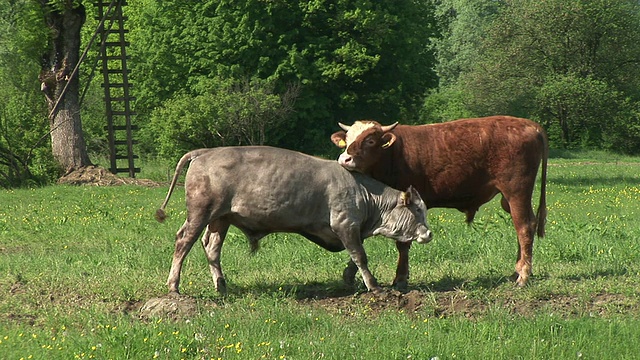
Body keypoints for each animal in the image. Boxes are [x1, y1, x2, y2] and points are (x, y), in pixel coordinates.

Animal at [157, 145, 432, 294]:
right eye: (418, 210)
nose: (429, 233)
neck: (364, 193)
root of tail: (205, 152)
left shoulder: (352, 231)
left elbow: (355, 257)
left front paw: (348, 277)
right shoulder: (345, 224)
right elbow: (360, 256)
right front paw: (373, 285)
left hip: (221, 219)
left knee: (212, 248)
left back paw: (221, 285)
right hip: (200, 214)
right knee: (183, 242)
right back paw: (174, 285)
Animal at [332, 116, 548, 288]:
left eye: (369, 140)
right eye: (348, 139)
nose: (344, 159)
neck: (393, 154)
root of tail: (530, 125)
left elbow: (402, 244)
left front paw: (400, 278)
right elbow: (361, 236)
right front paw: (350, 273)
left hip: (516, 191)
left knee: (524, 227)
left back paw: (523, 275)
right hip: (509, 199)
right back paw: (516, 272)